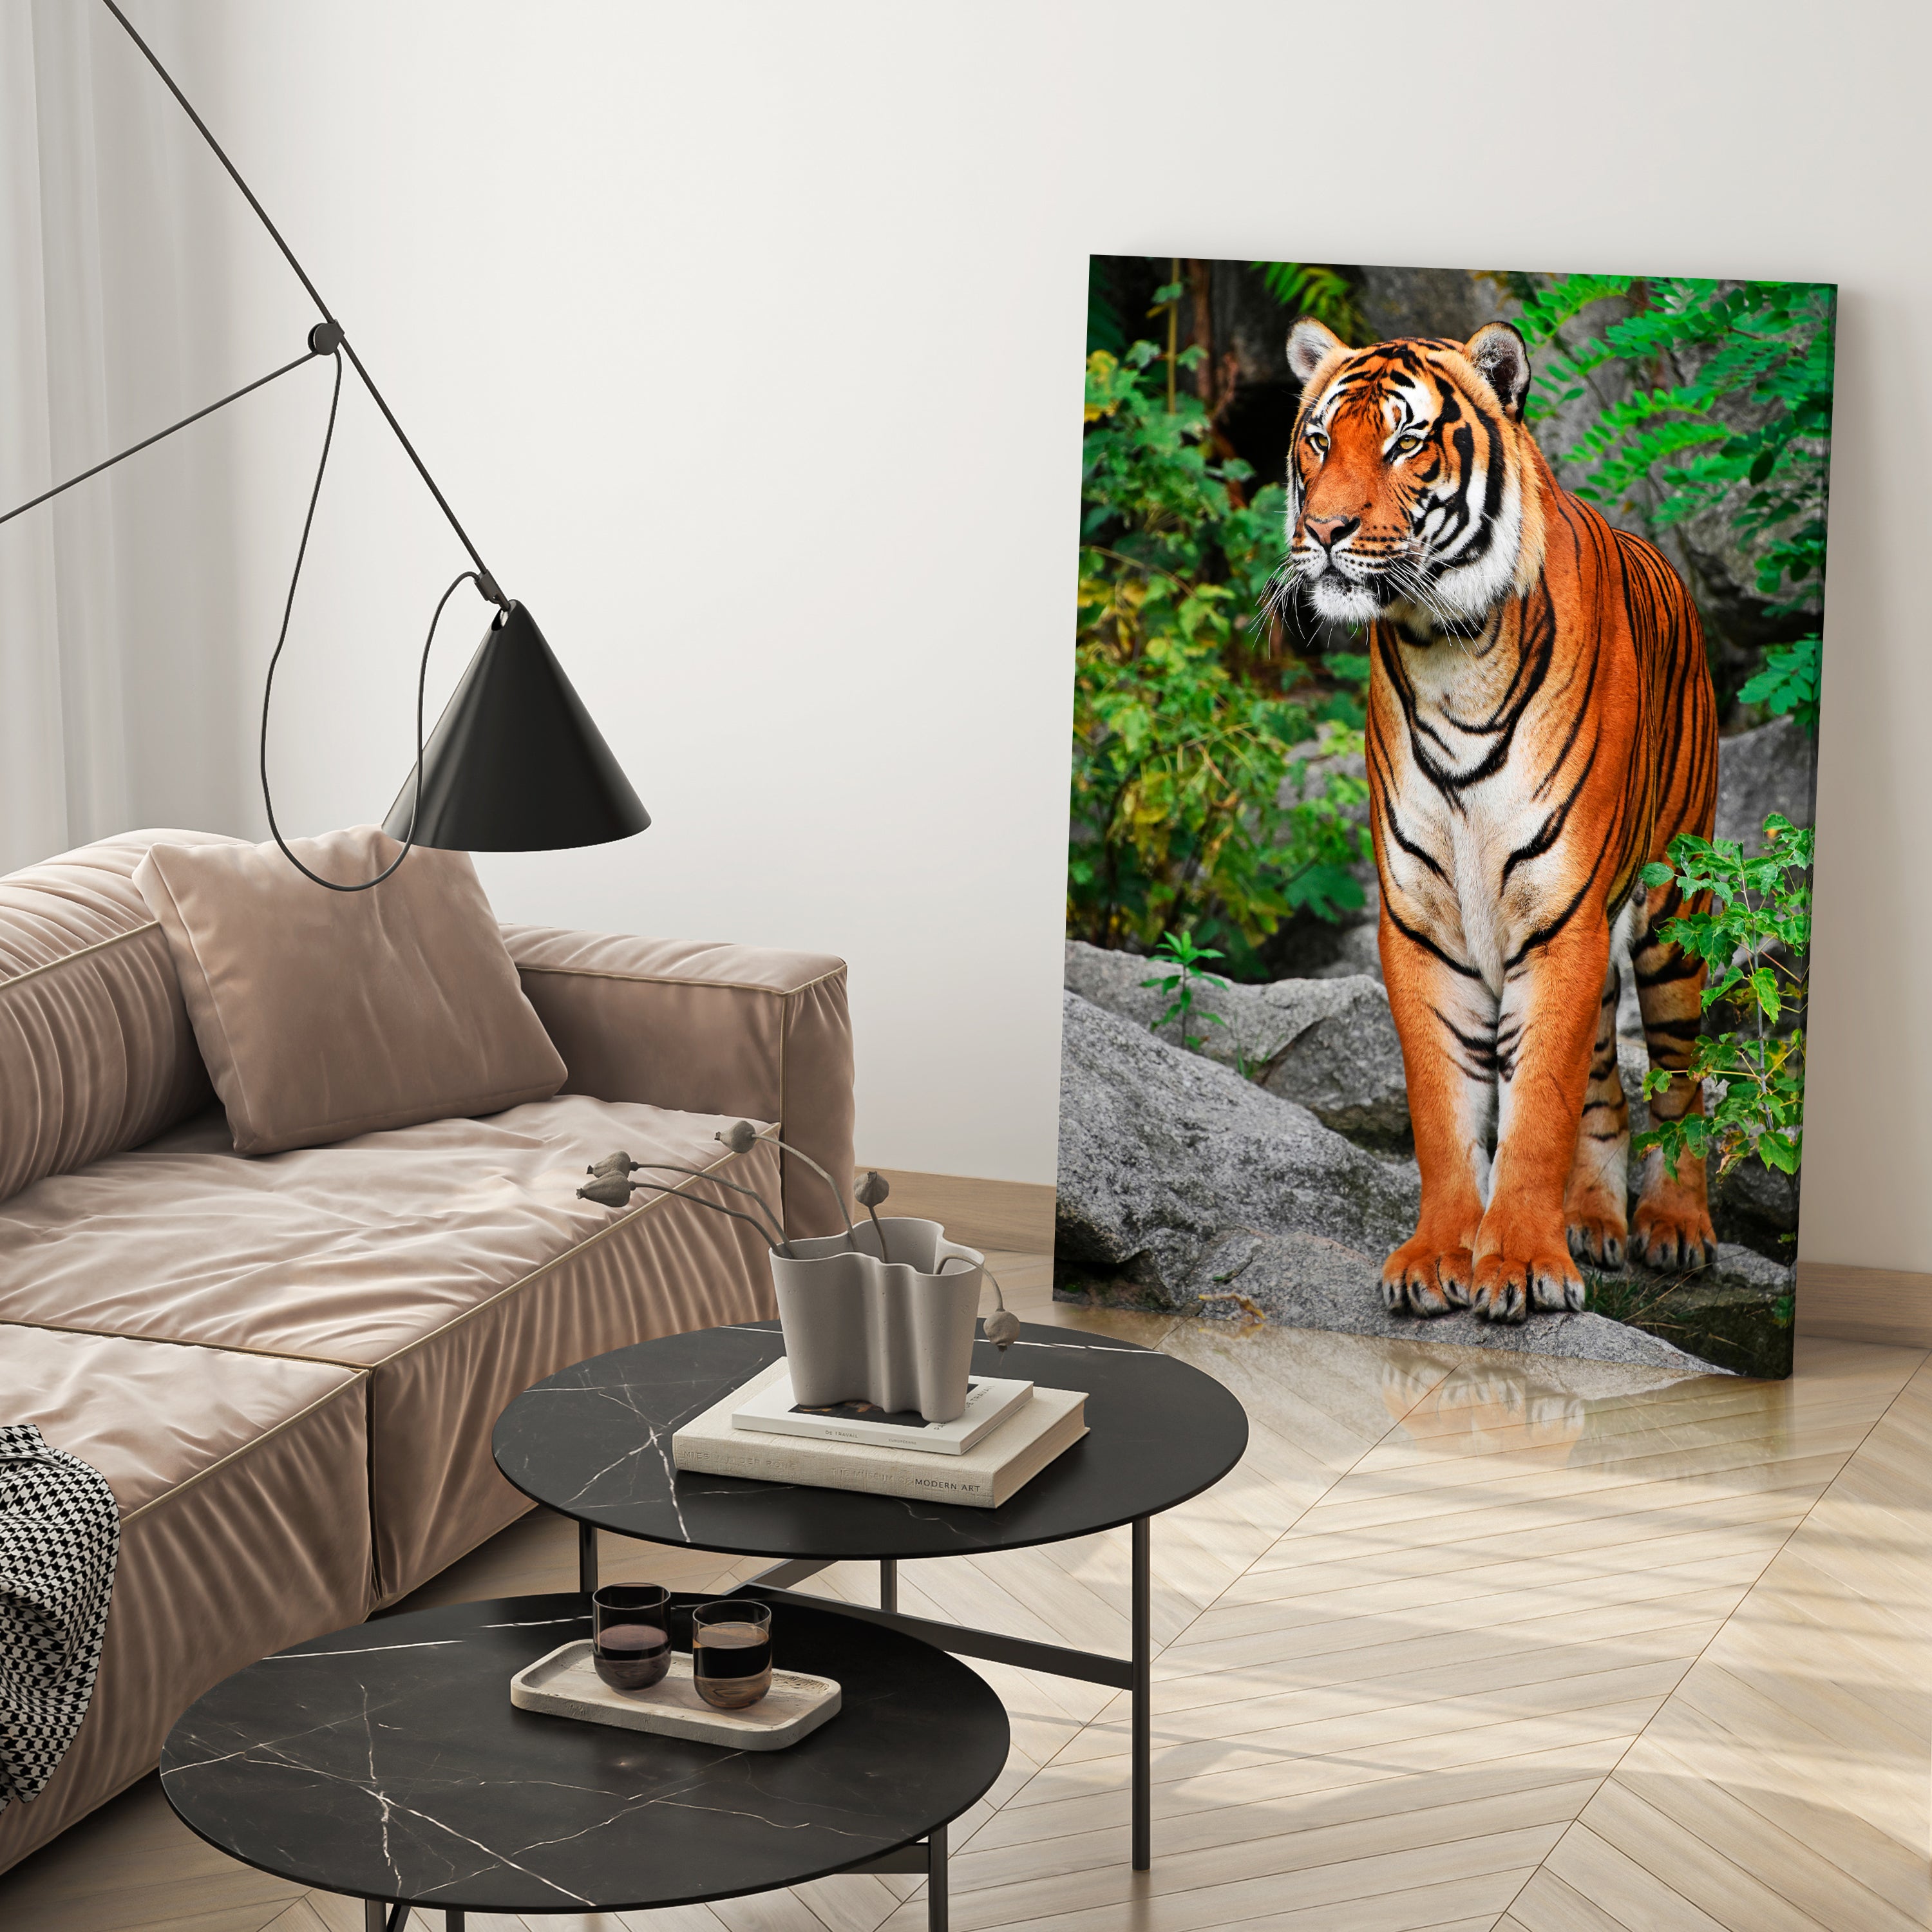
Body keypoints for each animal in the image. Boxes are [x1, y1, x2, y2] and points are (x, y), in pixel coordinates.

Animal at [1283, 316, 1719, 1324]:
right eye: (1319, 441)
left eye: (1405, 442)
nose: (1322, 531)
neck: (1446, 651)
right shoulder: (1422, 922)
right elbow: (1447, 1110)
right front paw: (1439, 1257)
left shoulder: (1564, 919)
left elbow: (1537, 1107)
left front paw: (1516, 1261)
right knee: (1606, 1084)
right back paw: (1593, 1219)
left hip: (1674, 917)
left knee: (1678, 1079)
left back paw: (1675, 1227)